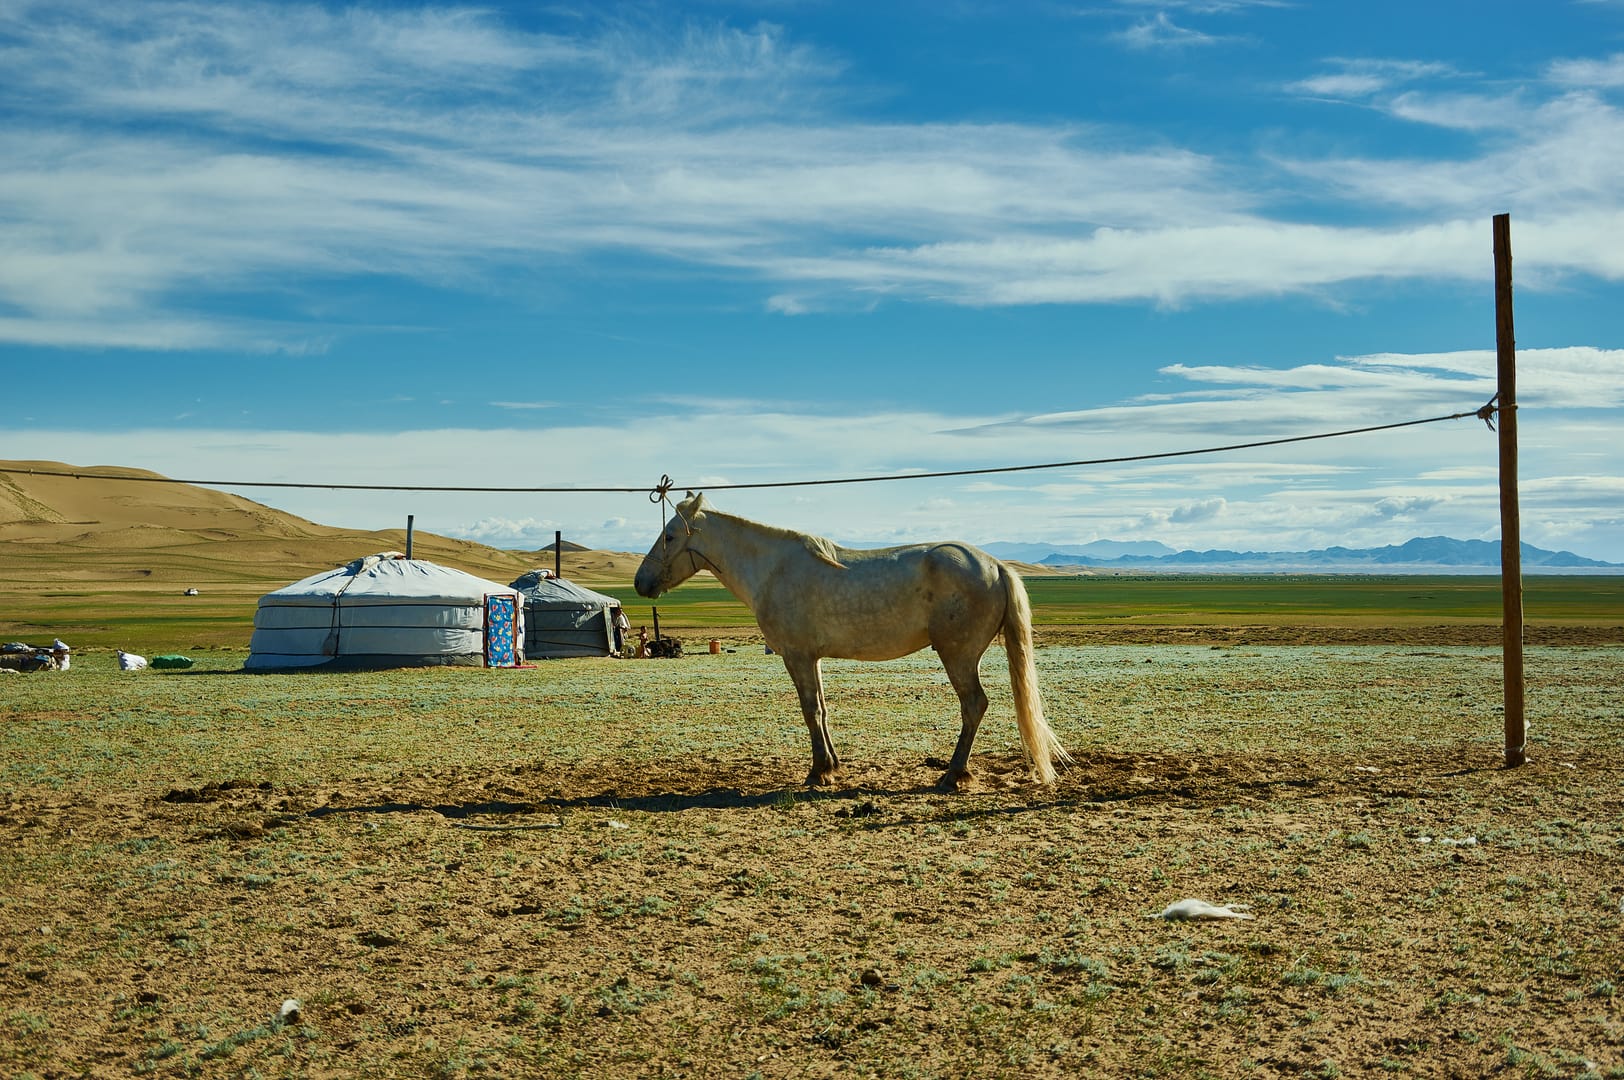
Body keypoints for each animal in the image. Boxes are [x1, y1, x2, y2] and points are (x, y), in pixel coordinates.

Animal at [634, 493, 1073, 790]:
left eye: (669, 535)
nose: (641, 583)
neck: (773, 570)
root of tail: (995, 565)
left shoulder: (796, 657)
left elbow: (810, 710)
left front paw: (818, 772)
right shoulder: (812, 659)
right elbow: (823, 710)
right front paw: (832, 764)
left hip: (959, 655)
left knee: (974, 705)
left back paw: (954, 774)